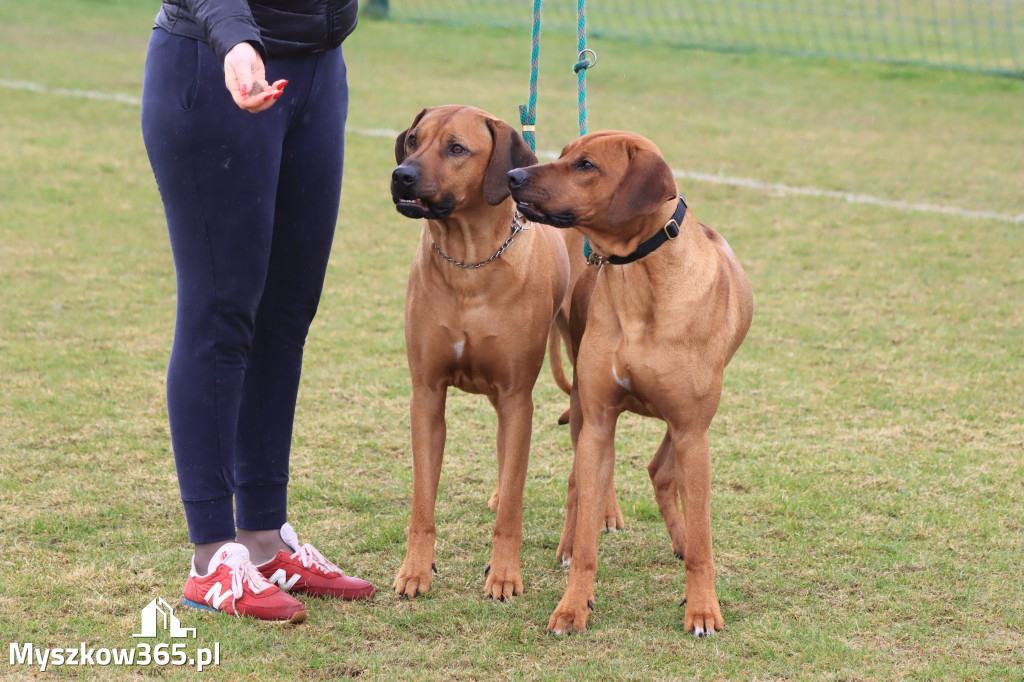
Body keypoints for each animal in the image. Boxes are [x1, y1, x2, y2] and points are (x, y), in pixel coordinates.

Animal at [389, 106, 573, 602]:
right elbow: (422, 502)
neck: (469, 261)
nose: (401, 175)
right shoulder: (427, 394)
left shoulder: (517, 397)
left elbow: (511, 511)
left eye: (457, 148)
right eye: (413, 140)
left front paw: (505, 575)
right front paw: (415, 570)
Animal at [505, 130, 753, 634]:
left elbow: (702, 541)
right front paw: (572, 607)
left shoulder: (692, 430)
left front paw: (703, 609)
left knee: (661, 472)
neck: (643, 277)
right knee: (580, 484)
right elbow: (587, 537)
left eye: (585, 165)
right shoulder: (600, 422)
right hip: (584, 410)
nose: (513, 176)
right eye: (563, 154)